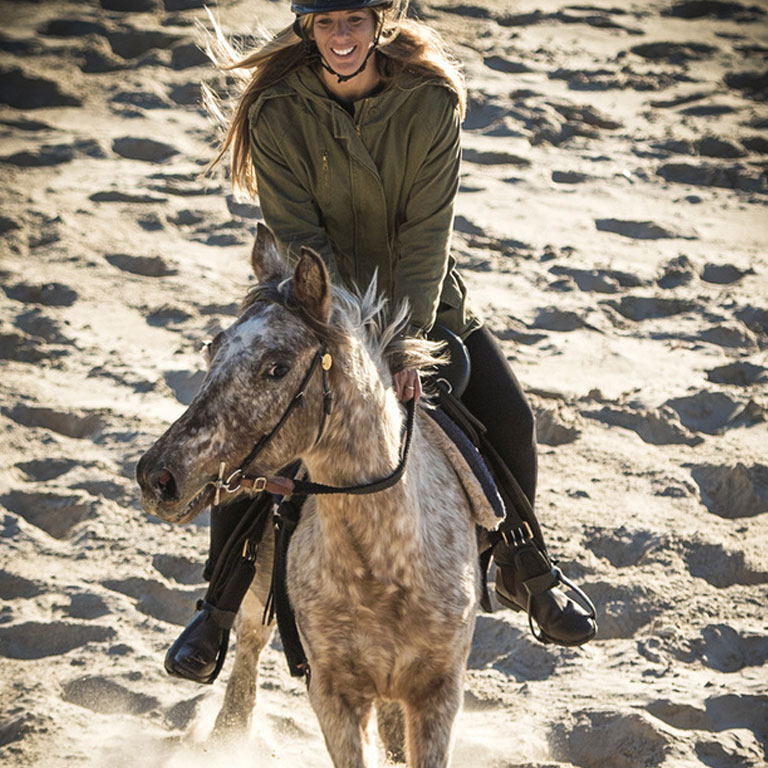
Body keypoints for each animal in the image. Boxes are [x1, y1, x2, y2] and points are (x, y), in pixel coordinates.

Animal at [137, 225, 498, 764]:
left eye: (277, 368)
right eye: (211, 350)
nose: (156, 477)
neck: (383, 566)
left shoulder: (437, 692)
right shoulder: (331, 691)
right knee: (248, 646)